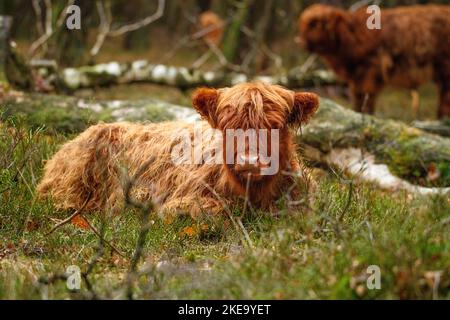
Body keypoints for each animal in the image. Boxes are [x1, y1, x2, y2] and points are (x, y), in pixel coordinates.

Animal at [298, 3, 450, 119]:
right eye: (303, 24)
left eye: (314, 24)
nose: (300, 41)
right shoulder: (356, 77)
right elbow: (358, 96)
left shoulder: (371, 69)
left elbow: (367, 95)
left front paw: (366, 115)